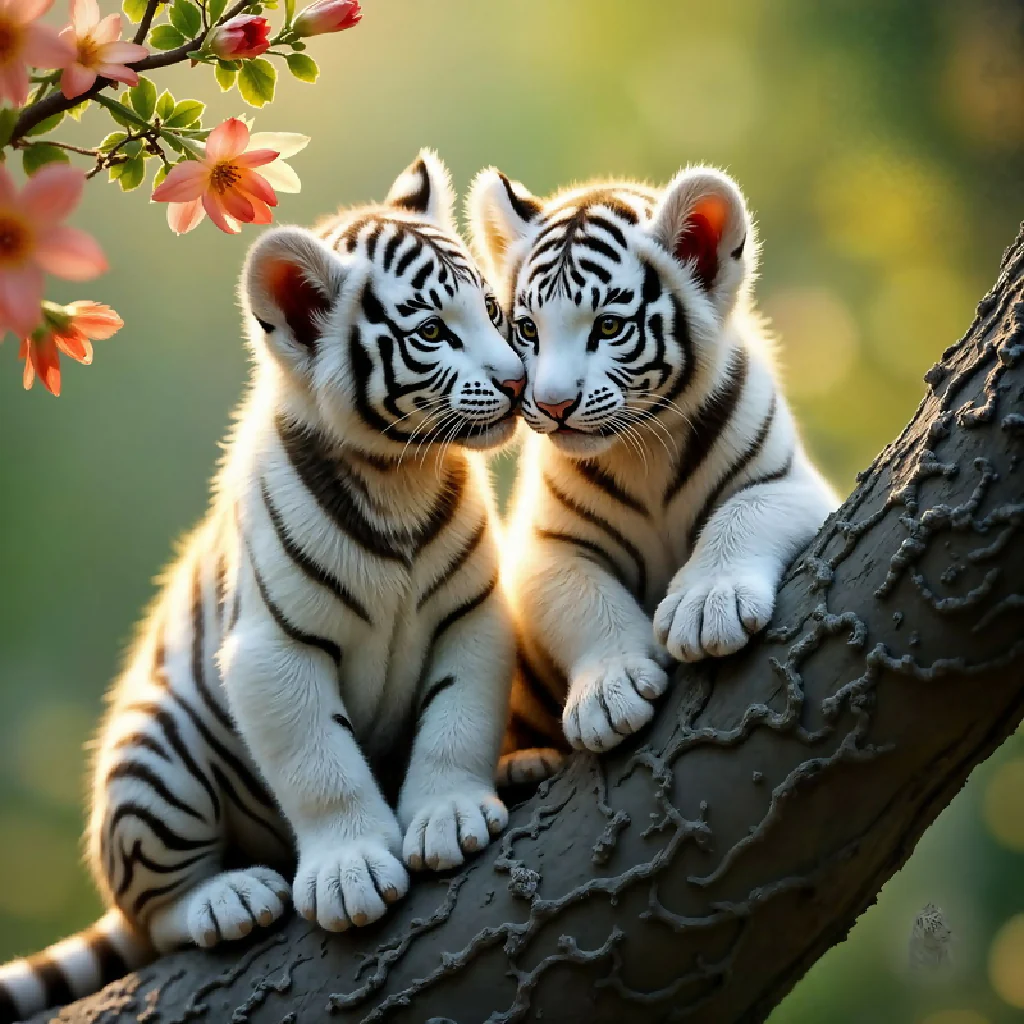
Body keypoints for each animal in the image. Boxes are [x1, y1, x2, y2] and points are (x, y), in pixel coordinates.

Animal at [0, 150, 526, 1024]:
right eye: (432, 333)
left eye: (492, 309)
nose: (520, 382)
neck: (397, 477)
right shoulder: (273, 651)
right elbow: (322, 765)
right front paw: (351, 872)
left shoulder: (472, 616)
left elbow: (456, 720)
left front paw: (447, 816)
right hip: (155, 759)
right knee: (156, 914)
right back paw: (228, 899)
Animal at [469, 164, 838, 763]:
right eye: (528, 330)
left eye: (608, 327)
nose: (552, 404)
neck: (644, 447)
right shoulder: (547, 545)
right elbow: (582, 600)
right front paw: (609, 691)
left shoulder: (792, 486)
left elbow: (742, 515)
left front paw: (709, 605)